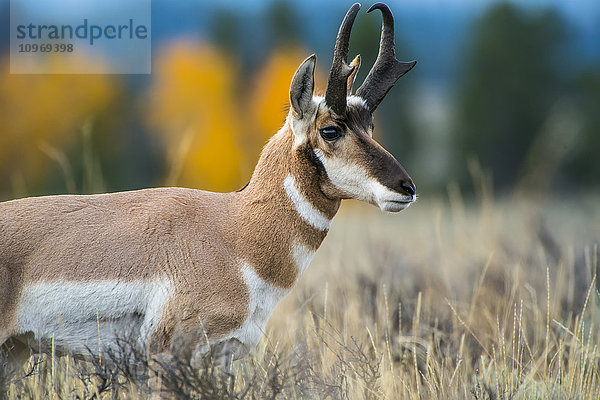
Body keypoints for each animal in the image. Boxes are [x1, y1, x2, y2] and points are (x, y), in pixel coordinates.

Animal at [0, 2, 414, 366]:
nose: (406, 187)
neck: (234, 230)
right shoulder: (168, 353)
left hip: (15, 353)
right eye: (330, 130)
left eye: (370, 126)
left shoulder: (226, 354)